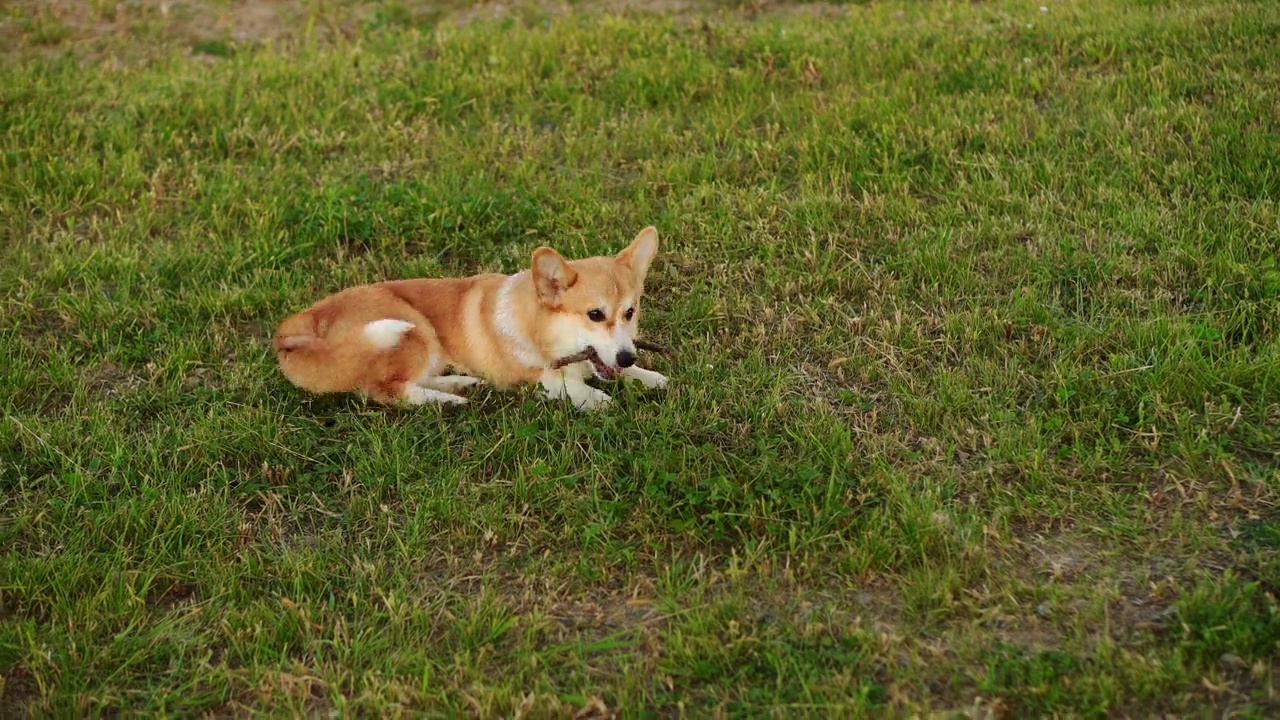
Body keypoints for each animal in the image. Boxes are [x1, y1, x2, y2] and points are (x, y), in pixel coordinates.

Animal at [272, 228, 670, 409]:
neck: (539, 328)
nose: (627, 356)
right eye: (594, 314)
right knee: (385, 390)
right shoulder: (523, 373)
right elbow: (560, 381)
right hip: (412, 327)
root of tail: (295, 327)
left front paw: (648, 376)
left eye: (630, 312)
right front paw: (596, 399)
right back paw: (447, 401)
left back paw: (459, 384)